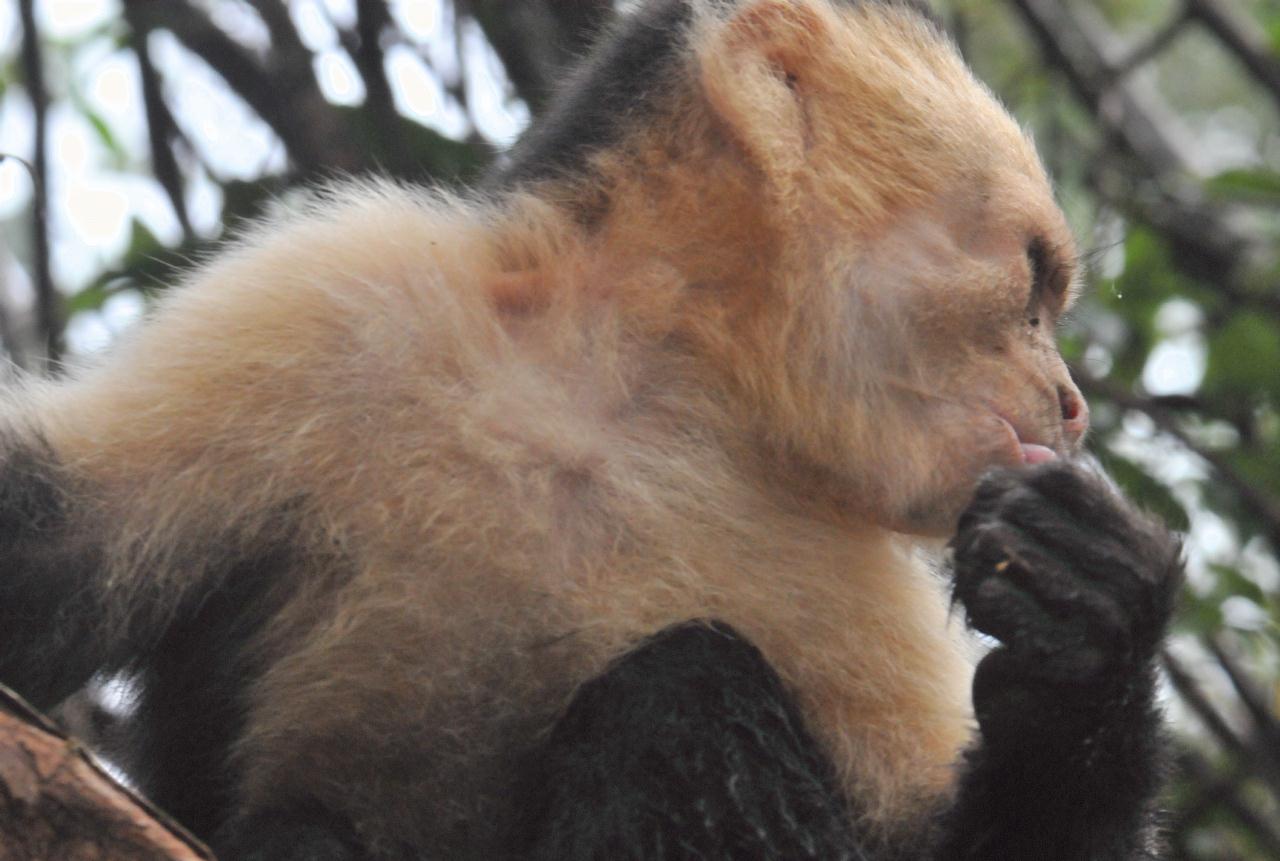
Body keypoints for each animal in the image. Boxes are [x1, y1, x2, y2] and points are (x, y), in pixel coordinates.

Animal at [0, 1, 1177, 859]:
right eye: (1032, 282)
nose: (1069, 400)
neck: (635, 384)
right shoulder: (338, 293)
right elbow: (48, 554)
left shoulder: (859, 566)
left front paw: (1085, 632)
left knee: (679, 692)